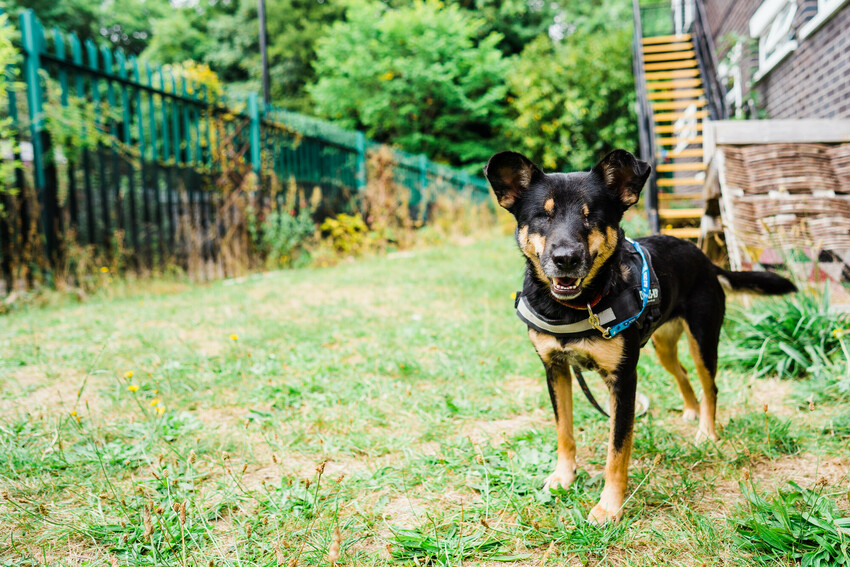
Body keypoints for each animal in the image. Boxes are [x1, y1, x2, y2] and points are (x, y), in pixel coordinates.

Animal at [484, 150, 796, 524]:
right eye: (542, 216)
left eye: (592, 217)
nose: (565, 259)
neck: (575, 307)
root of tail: (705, 259)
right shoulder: (555, 369)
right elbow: (564, 431)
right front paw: (563, 477)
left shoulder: (623, 380)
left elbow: (617, 451)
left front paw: (609, 507)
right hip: (663, 346)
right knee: (682, 373)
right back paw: (691, 411)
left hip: (703, 341)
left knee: (710, 386)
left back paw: (706, 431)